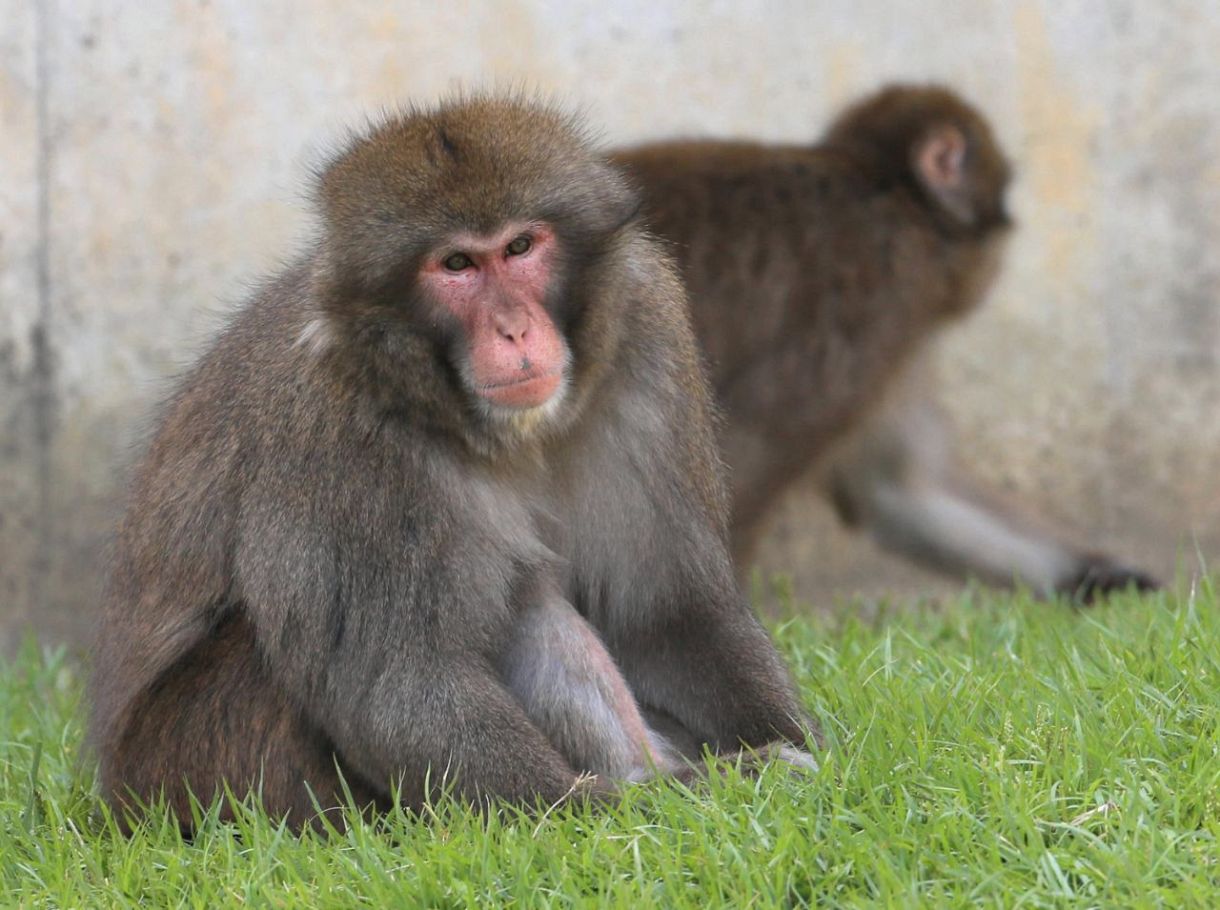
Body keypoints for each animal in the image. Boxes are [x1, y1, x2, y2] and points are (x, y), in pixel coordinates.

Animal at [90, 97, 814, 829]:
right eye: (457, 264)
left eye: (521, 247)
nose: (513, 329)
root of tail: (118, 793)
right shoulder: (339, 428)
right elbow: (402, 687)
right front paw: (615, 805)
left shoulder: (647, 333)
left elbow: (670, 612)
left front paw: (797, 749)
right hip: (203, 761)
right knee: (518, 594)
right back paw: (658, 780)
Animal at [619, 83, 1151, 595]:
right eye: (1000, 206)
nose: (1008, 231)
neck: (886, 190)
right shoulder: (875, 309)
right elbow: (748, 445)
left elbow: (900, 491)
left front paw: (1107, 578)